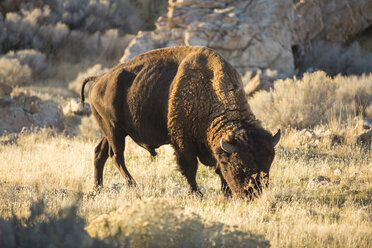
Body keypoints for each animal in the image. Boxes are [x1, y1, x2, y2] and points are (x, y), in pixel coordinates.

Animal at [81, 46, 280, 198]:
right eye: (238, 166)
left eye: (269, 164)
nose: (254, 194)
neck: (209, 91)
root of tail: (99, 79)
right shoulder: (182, 142)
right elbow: (190, 168)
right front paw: (196, 194)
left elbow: (217, 168)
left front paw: (226, 193)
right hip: (113, 130)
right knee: (117, 156)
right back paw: (132, 185)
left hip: (110, 131)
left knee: (100, 153)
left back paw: (98, 187)